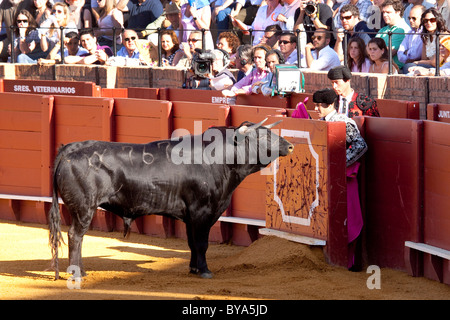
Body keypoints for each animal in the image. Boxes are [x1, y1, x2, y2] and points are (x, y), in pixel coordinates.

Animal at [49, 119, 294, 278]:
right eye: (263, 135)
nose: (290, 145)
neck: (220, 159)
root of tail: (71, 148)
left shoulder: (191, 216)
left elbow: (192, 243)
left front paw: (194, 269)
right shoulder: (202, 213)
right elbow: (202, 243)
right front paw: (205, 271)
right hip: (84, 208)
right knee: (75, 235)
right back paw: (77, 273)